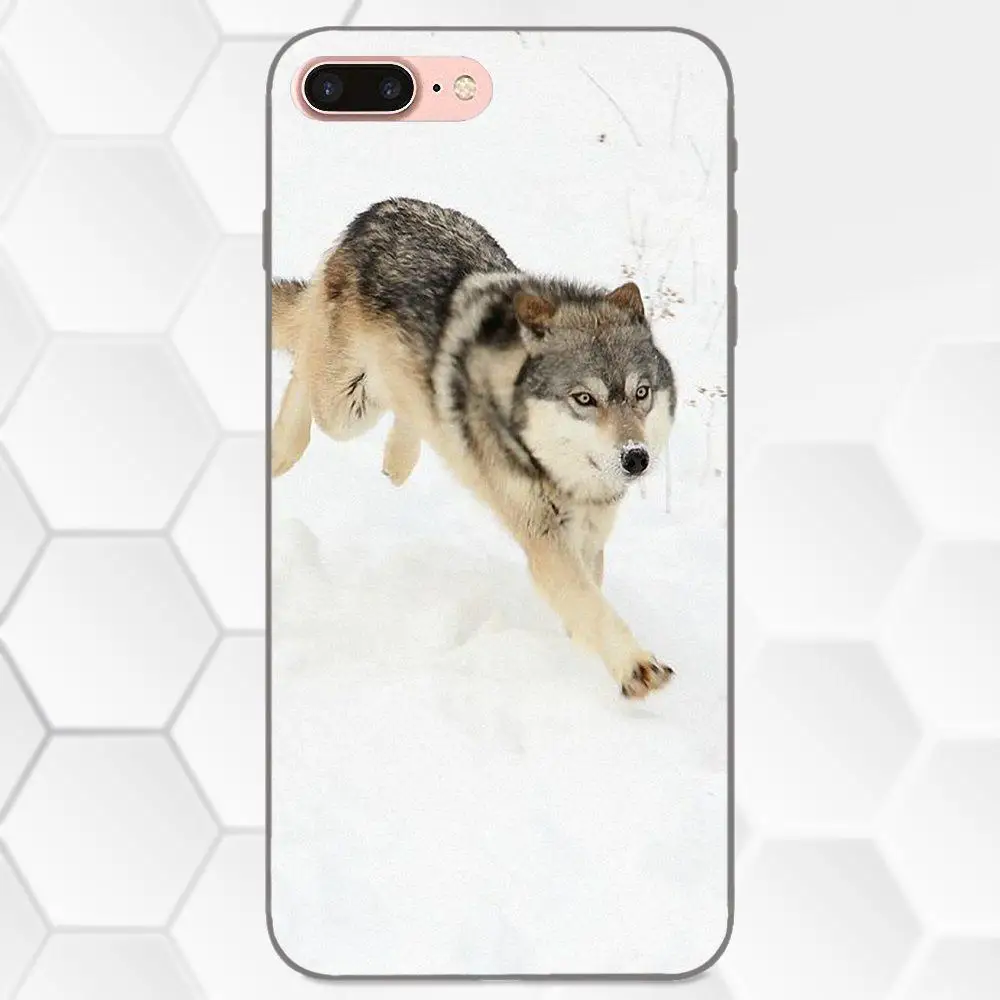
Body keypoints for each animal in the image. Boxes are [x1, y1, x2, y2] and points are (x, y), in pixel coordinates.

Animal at [271, 198, 678, 697]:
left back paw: (398, 461)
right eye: (584, 399)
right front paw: (635, 665)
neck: (562, 478)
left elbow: (588, 605)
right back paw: (280, 451)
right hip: (346, 409)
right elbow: (593, 607)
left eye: (641, 393)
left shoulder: (588, 539)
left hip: (380, 393)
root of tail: (375, 211)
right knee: (301, 367)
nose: (636, 458)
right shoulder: (544, 541)